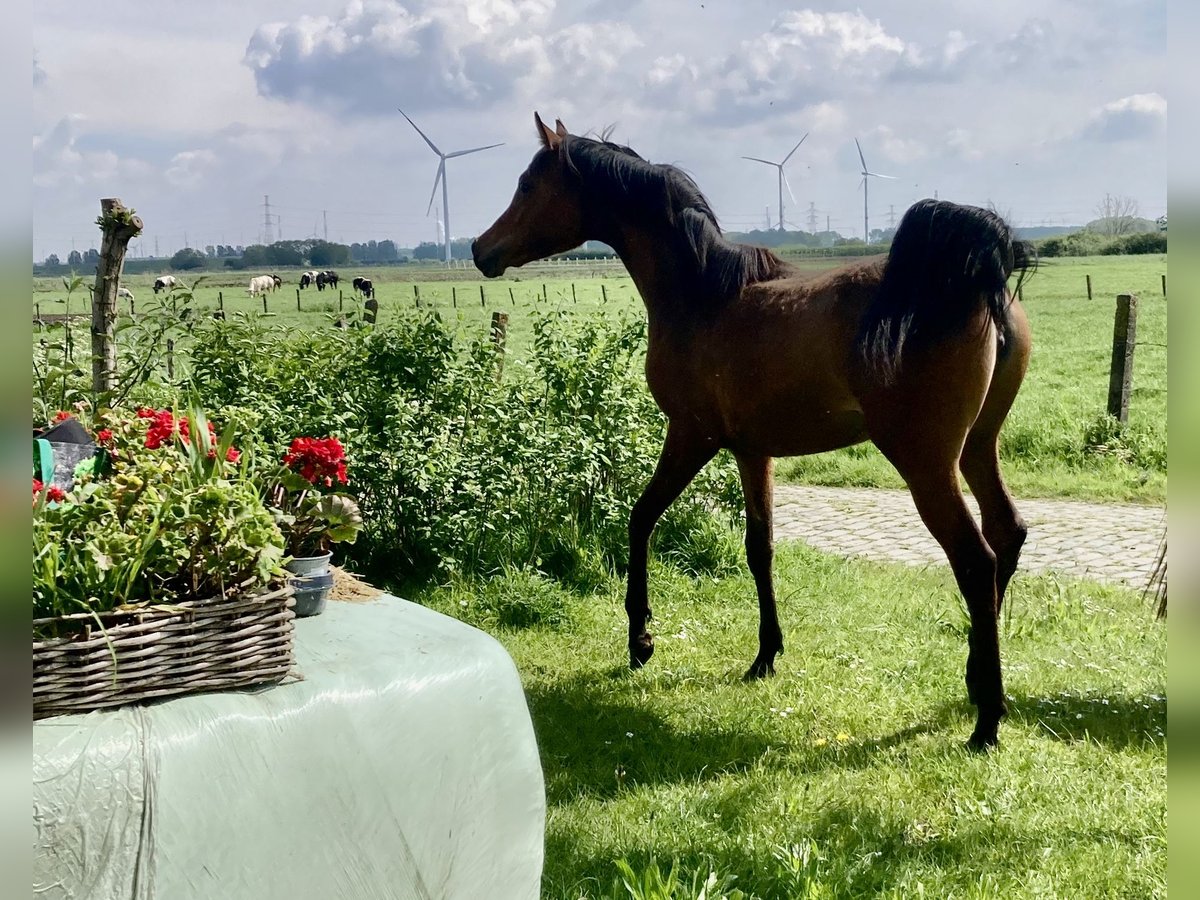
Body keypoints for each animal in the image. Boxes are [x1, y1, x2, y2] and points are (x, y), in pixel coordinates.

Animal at [472, 114, 1036, 753]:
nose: (480, 249)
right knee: (1007, 532)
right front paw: (766, 654)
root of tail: (975, 278)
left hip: (926, 464)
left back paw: (986, 721)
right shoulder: (752, 451)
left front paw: (640, 639)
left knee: (976, 561)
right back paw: (974, 678)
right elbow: (759, 547)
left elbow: (641, 519)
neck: (704, 296)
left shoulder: (690, 435)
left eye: (527, 184)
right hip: (977, 449)